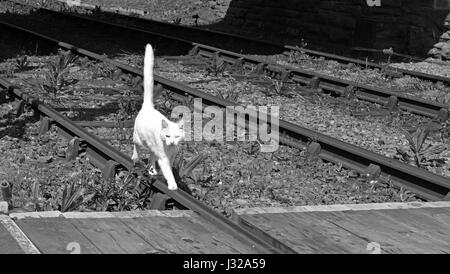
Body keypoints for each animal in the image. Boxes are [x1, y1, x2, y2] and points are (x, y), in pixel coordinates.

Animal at [132, 45, 185, 191]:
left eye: (176, 137)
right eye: (167, 136)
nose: (171, 142)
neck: (169, 149)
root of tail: (148, 107)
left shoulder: (172, 156)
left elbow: (169, 169)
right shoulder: (164, 158)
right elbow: (168, 171)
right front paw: (172, 184)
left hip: (152, 146)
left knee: (151, 155)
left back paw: (152, 170)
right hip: (139, 139)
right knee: (136, 146)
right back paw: (135, 158)